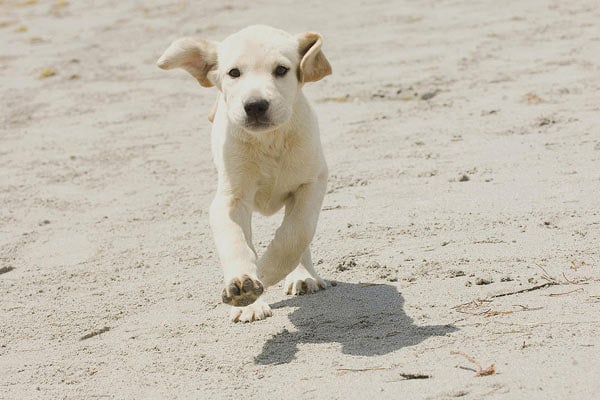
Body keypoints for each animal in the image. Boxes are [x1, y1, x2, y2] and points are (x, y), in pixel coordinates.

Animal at [157, 25, 330, 322]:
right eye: (234, 73)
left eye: (281, 70)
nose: (255, 105)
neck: (269, 141)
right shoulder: (230, 200)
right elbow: (236, 243)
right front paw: (244, 287)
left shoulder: (312, 182)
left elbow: (296, 233)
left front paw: (267, 270)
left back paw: (303, 275)